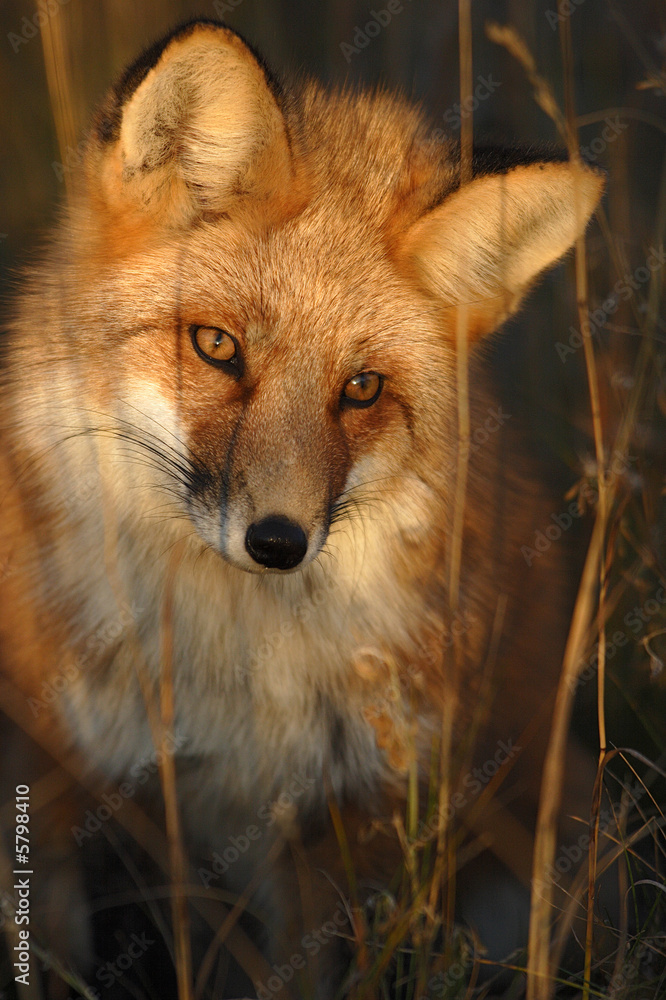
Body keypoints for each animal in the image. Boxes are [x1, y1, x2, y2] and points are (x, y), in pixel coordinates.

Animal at [0, 18, 607, 999]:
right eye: (217, 346)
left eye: (361, 390)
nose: (278, 542)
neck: (223, 680)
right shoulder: (49, 768)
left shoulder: (336, 823)